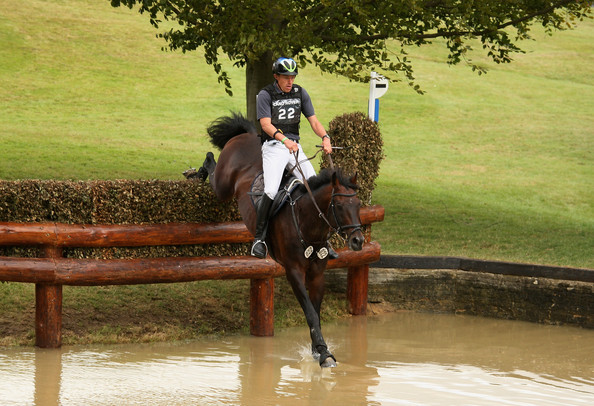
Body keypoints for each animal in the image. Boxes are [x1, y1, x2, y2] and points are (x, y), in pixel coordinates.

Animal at [199, 112, 364, 366]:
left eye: (358, 205)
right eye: (338, 205)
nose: (358, 241)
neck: (307, 223)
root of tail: (248, 135)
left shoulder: (317, 273)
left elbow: (315, 311)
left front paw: (318, 349)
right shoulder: (293, 271)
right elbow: (309, 312)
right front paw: (323, 353)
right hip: (224, 187)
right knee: (213, 170)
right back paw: (200, 168)